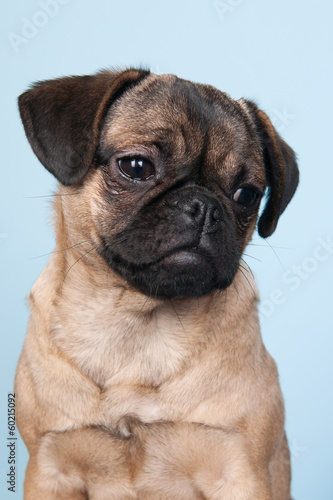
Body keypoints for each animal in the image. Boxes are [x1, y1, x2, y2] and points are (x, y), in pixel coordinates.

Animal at [14, 67, 298, 500]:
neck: (137, 321)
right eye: (136, 167)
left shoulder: (240, 471)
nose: (205, 207)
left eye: (247, 195)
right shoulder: (50, 469)